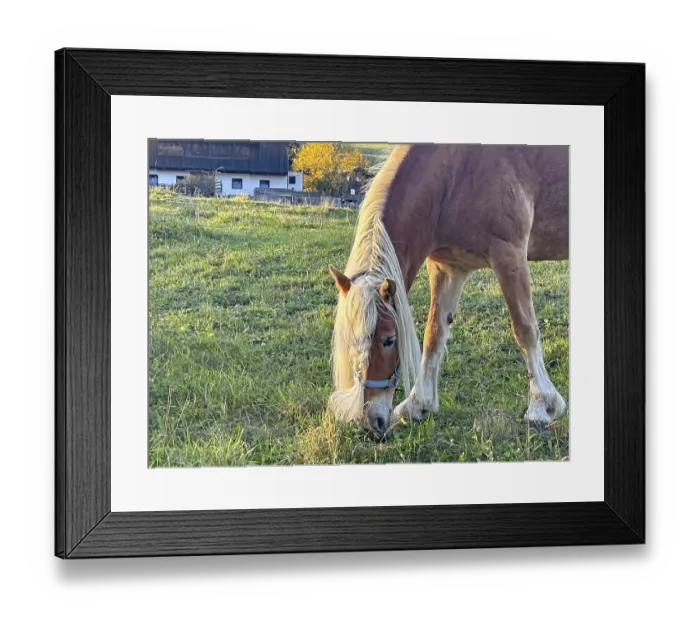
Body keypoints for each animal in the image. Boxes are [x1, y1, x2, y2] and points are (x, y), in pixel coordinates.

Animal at [328, 144, 568, 439]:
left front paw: (542, 405)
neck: (456, 172)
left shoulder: (509, 256)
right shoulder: (448, 268)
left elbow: (525, 330)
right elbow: (435, 334)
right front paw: (419, 405)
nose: (371, 421)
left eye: (389, 340)